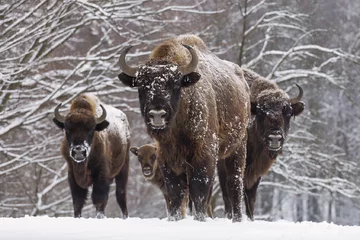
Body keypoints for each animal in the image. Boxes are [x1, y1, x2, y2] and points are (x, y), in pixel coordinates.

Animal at [118, 34, 250, 222]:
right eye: (142, 86)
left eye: (174, 85)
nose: (157, 114)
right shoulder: (167, 158)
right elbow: (176, 194)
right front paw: (175, 219)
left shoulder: (203, 154)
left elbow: (198, 191)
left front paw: (199, 219)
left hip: (238, 148)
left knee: (234, 183)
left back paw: (237, 219)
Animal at [219, 68, 304, 220]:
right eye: (260, 112)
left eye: (288, 112)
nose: (275, 138)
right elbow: (230, 192)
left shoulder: (256, 171)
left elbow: (251, 197)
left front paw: (251, 218)